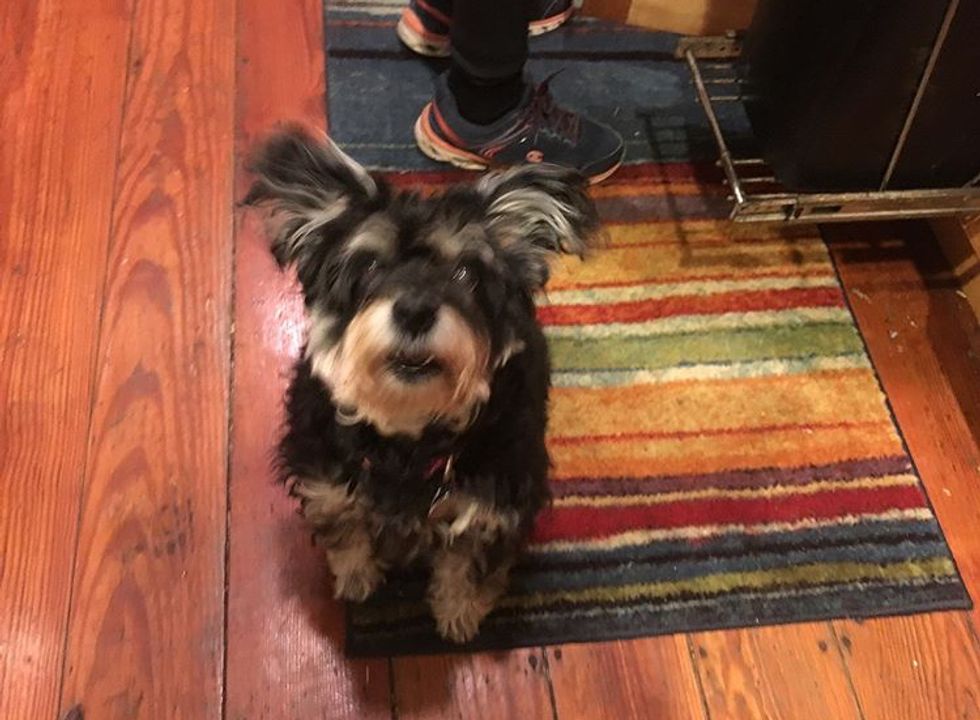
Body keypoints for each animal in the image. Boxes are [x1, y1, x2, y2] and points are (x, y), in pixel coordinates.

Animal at [246, 126, 599, 643]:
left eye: (466, 272)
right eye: (369, 266)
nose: (414, 311)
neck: (407, 440)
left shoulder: (491, 509)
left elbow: (465, 568)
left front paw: (459, 615)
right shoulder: (325, 479)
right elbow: (346, 533)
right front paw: (357, 578)